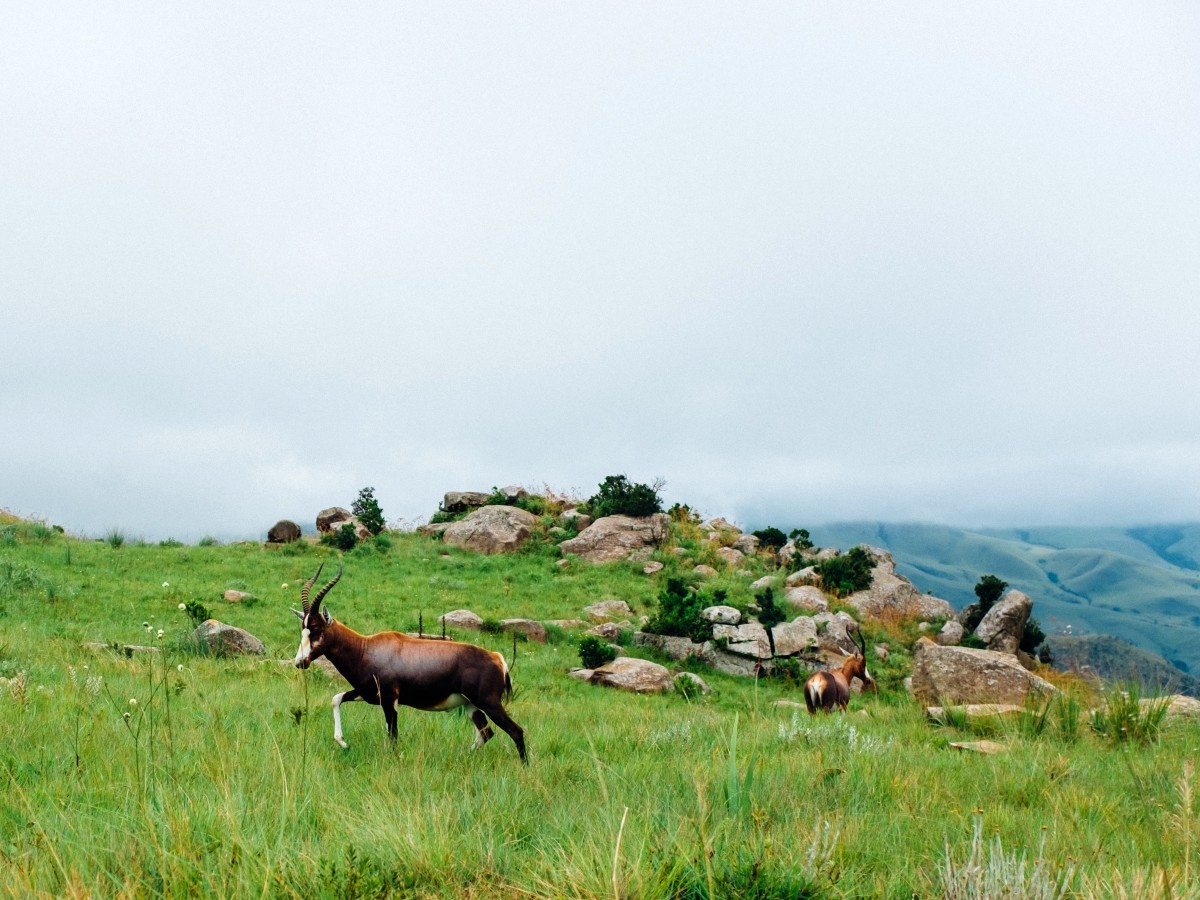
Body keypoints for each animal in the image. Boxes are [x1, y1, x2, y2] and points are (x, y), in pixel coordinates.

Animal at [289, 564, 525, 763]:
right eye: (303, 628)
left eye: (316, 629)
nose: (300, 662)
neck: (365, 648)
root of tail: (497, 658)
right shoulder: (367, 694)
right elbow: (336, 699)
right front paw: (343, 743)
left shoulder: (390, 700)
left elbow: (392, 736)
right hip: (471, 705)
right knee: (486, 733)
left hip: (489, 703)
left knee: (516, 731)